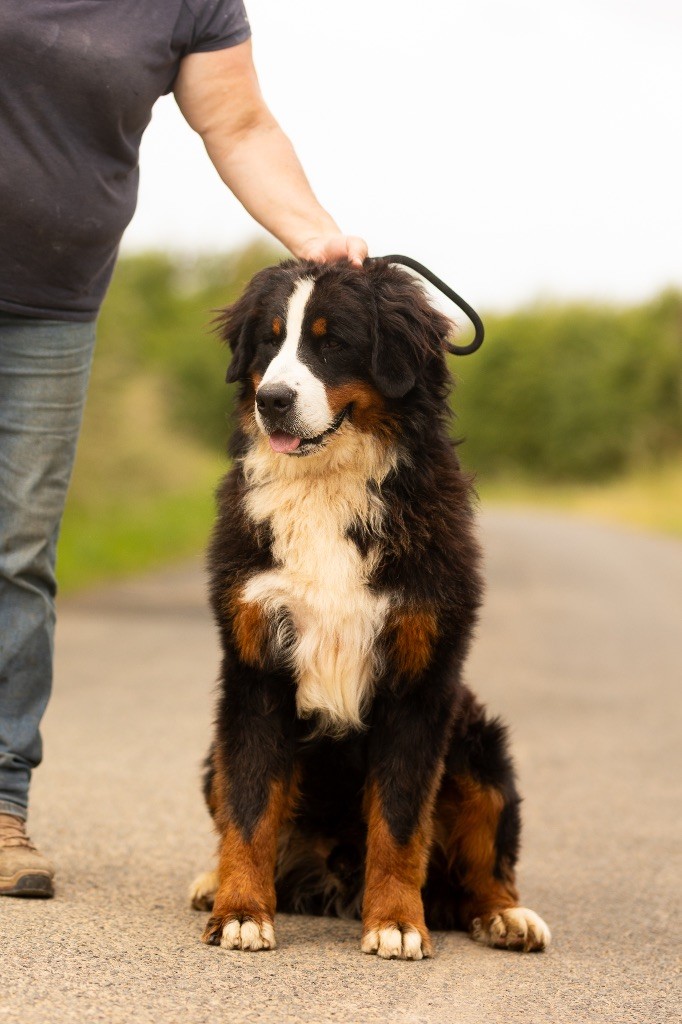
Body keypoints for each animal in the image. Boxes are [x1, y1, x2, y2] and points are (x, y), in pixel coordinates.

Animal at [188, 258, 548, 958]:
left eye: (332, 342)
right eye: (270, 340)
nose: (272, 399)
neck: (328, 486)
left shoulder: (419, 684)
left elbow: (401, 820)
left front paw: (397, 922)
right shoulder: (255, 672)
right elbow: (249, 806)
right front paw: (241, 910)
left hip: (480, 750)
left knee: (486, 866)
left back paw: (507, 917)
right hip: (213, 754)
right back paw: (211, 879)